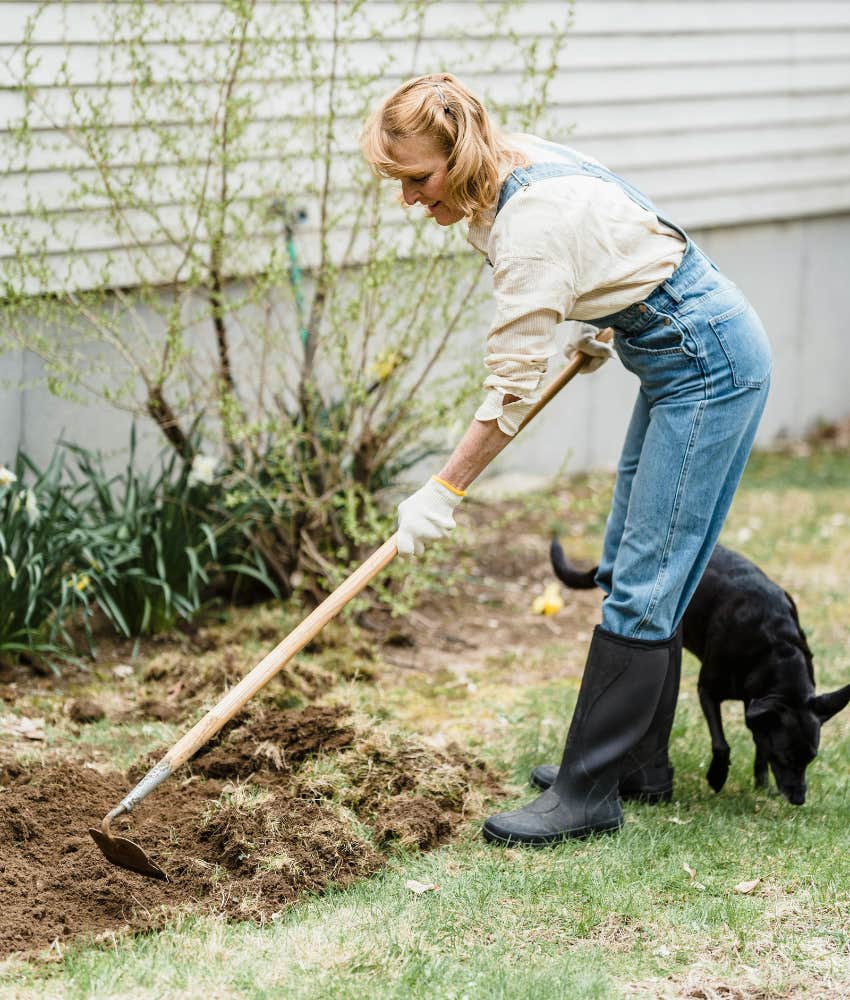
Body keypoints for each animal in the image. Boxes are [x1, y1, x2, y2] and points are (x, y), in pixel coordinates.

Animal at [548, 540, 844, 804]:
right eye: (785, 758)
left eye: (811, 758)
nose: (799, 799)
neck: (775, 647)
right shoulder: (709, 691)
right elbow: (721, 743)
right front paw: (717, 776)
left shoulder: (756, 706)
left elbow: (761, 744)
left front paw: (761, 784)